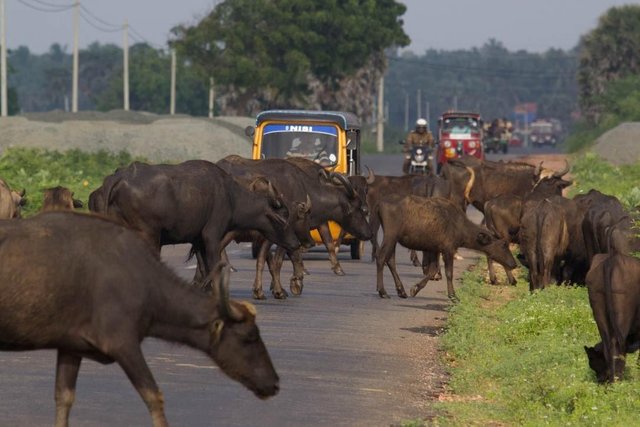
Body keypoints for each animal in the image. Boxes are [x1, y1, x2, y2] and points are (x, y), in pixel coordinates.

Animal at [0, 212, 280, 426]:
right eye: (249, 336)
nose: (274, 383)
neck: (145, 283)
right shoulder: (123, 344)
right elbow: (154, 396)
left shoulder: (71, 348)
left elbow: (64, 398)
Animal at [376, 196, 516, 300]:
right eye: (503, 245)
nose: (514, 264)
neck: (460, 227)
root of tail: (380, 204)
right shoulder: (448, 250)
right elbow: (448, 273)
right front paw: (453, 295)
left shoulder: (434, 249)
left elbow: (432, 270)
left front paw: (415, 289)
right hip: (390, 236)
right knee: (381, 257)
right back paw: (382, 291)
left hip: (394, 240)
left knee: (390, 260)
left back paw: (401, 291)